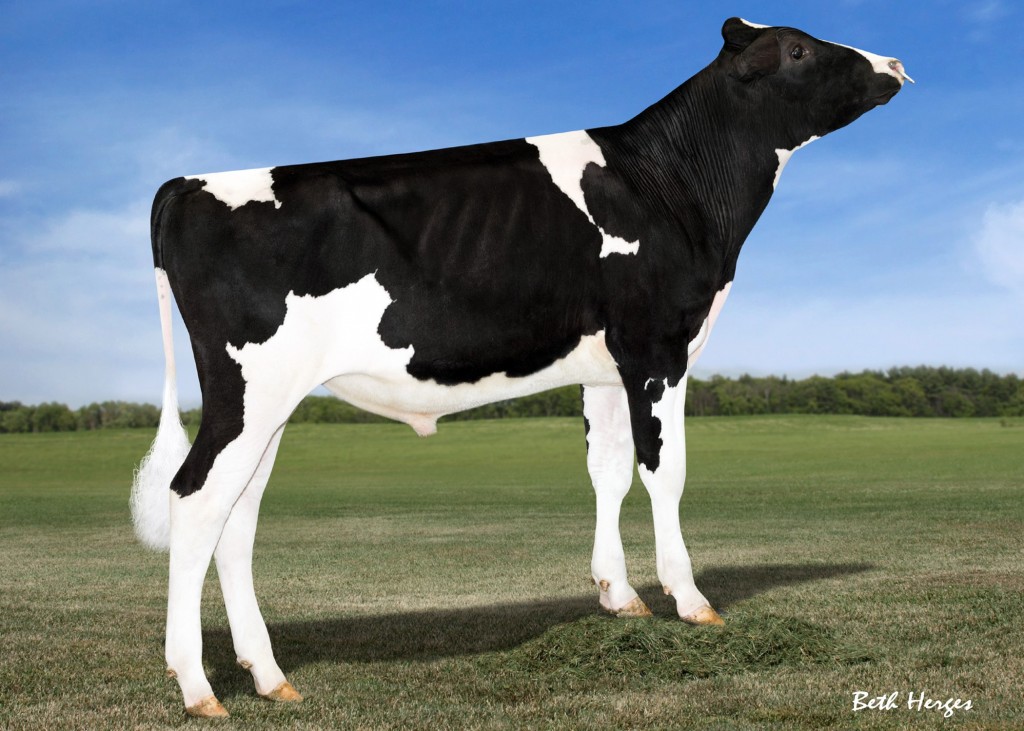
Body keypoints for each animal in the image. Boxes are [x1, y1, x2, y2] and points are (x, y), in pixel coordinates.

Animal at [131, 18, 910, 717]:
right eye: (799, 49)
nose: (897, 63)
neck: (672, 184)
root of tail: (188, 182)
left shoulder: (604, 368)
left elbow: (607, 471)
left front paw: (620, 597)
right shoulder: (657, 348)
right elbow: (665, 473)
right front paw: (691, 602)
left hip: (268, 402)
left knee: (236, 517)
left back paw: (269, 677)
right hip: (247, 388)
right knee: (195, 499)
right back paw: (199, 688)